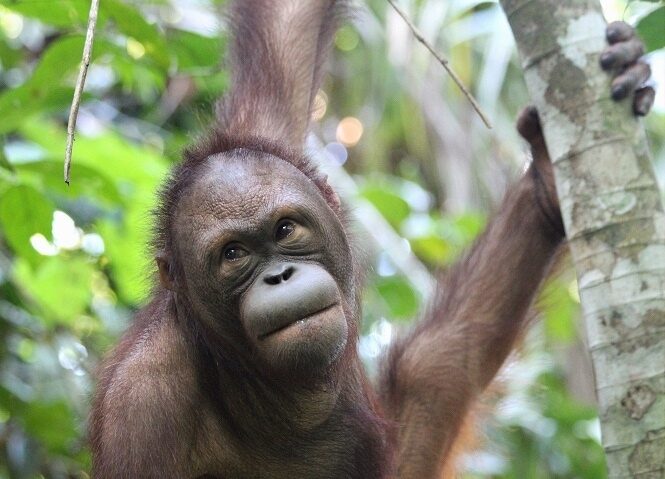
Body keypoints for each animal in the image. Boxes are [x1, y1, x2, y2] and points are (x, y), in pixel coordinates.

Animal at [88, 2, 655, 477]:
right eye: (234, 255)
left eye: (285, 230)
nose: (279, 275)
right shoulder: (143, 406)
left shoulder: (265, 137)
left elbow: (289, 26)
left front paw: (546, 178)